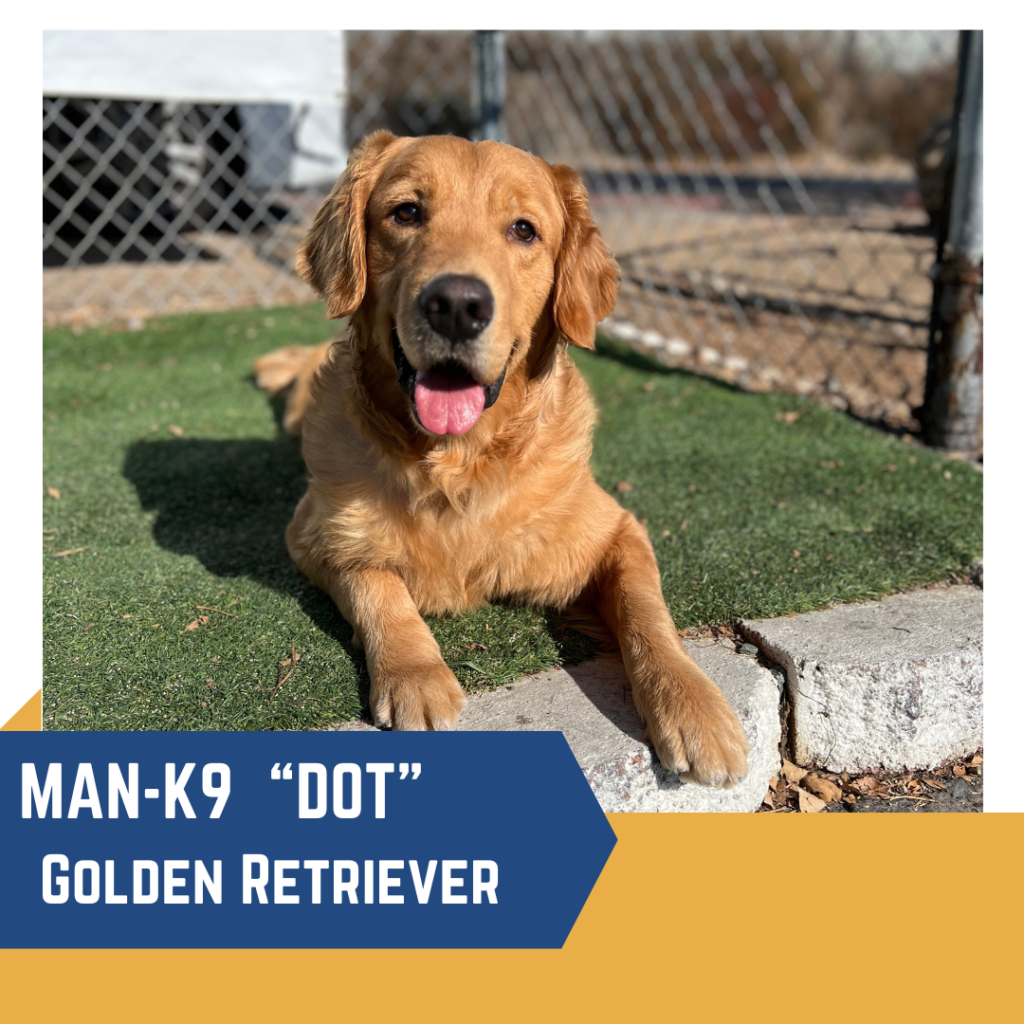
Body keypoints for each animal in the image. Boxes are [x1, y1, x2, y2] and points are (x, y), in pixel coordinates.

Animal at [253, 132, 753, 786]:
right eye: (406, 212)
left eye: (522, 229)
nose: (456, 304)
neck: (455, 462)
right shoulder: (312, 533)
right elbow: (377, 587)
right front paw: (416, 675)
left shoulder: (619, 530)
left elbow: (647, 613)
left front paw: (693, 704)